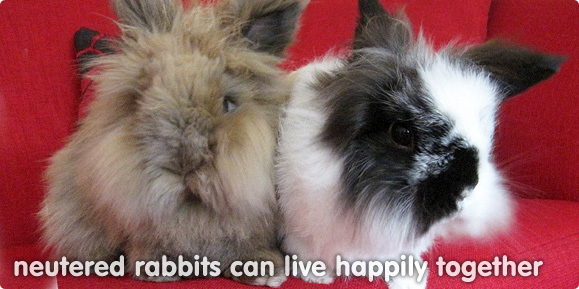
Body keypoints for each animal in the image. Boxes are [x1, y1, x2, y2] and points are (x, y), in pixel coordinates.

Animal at [39, 0, 306, 284]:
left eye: (228, 103)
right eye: (140, 100)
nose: (184, 164)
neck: (194, 209)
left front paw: (264, 273)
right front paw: (158, 271)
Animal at [274, 0, 564, 286]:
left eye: (486, 133)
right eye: (402, 134)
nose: (464, 195)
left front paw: (410, 280)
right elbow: (306, 250)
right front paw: (317, 276)